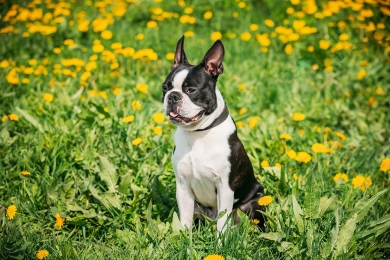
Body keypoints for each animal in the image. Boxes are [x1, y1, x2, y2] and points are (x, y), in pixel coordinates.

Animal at [161, 35, 266, 233]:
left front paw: (221, 241)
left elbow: (222, 222)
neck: (198, 134)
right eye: (165, 88)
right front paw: (183, 238)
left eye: (191, 90)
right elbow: (185, 220)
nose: (173, 96)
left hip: (255, 202)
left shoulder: (225, 187)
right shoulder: (183, 186)